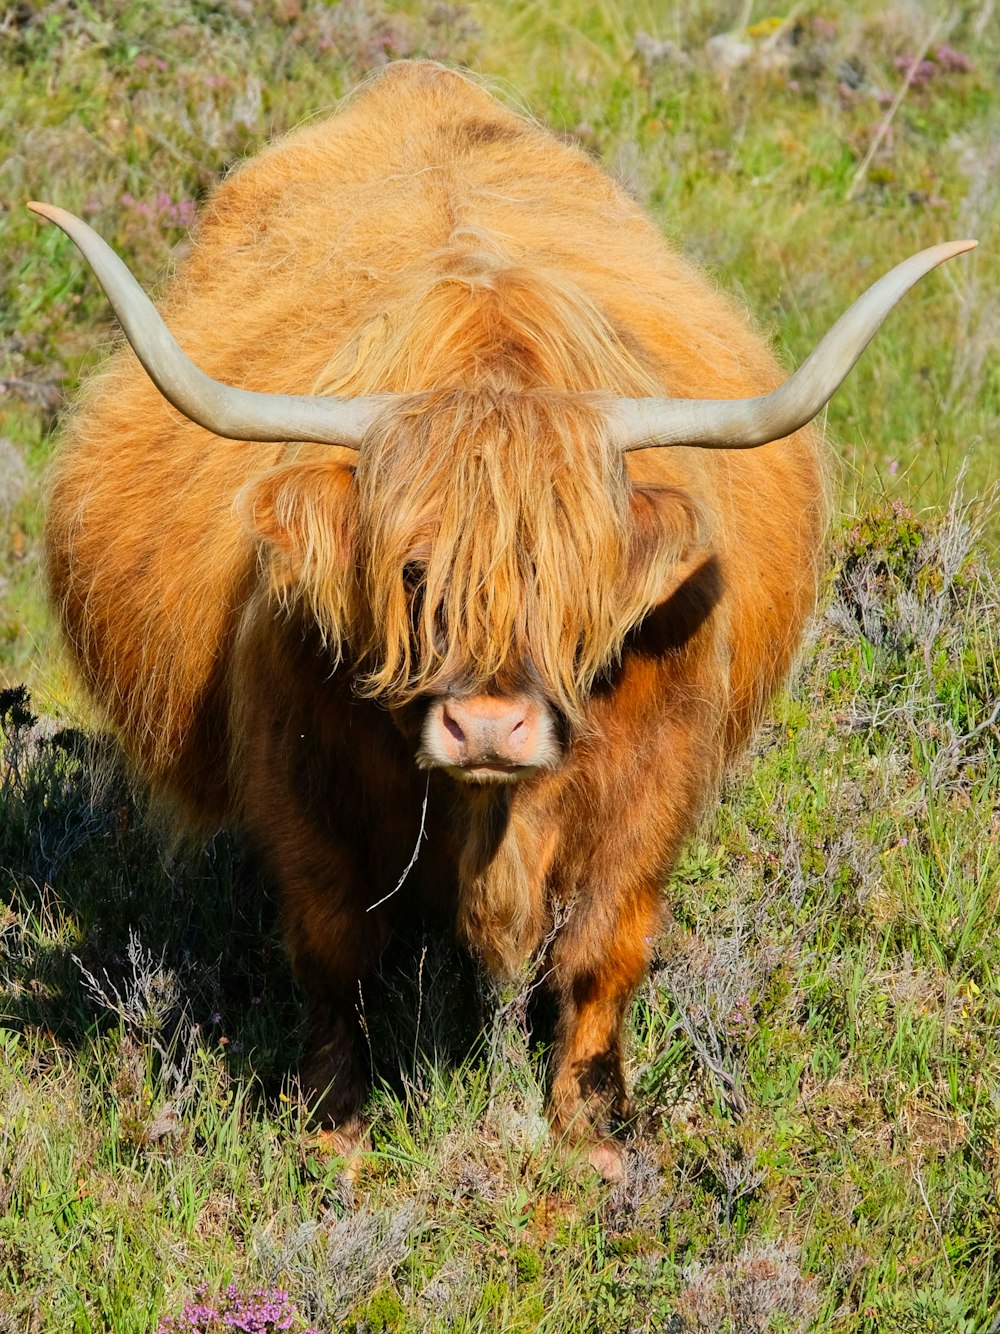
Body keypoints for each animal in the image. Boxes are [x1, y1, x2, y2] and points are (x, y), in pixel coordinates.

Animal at [35, 67, 976, 1184]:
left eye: (572, 583)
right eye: (412, 571)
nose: (487, 729)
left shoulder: (652, 781)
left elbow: (602, 946)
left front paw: (591, 1134)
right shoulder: (294, 774)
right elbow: (331, 941)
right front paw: (335, 1128)